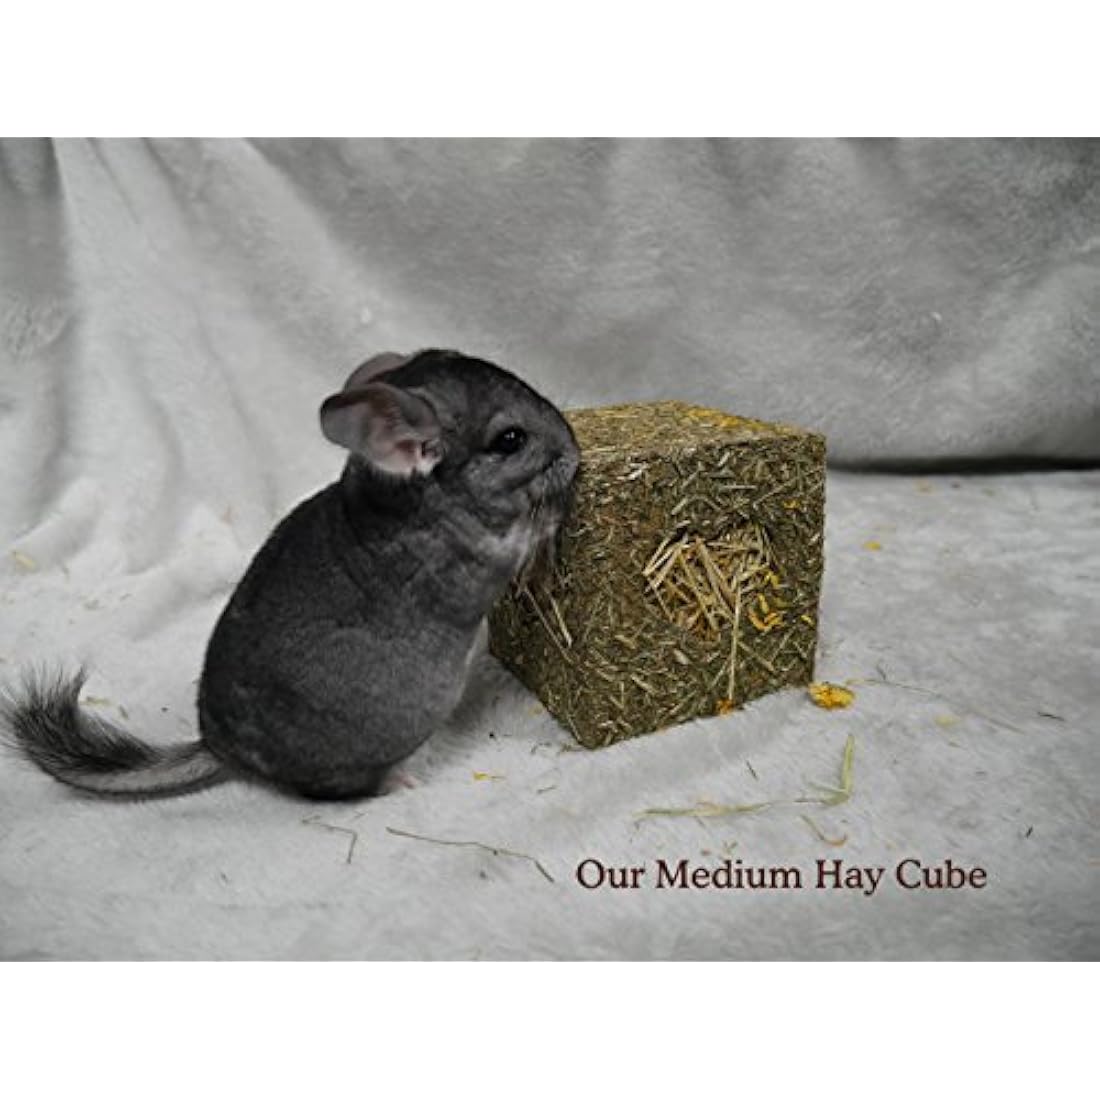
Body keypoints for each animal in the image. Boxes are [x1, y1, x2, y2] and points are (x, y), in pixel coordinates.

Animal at [1, 349, 580, 800]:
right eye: (510, 439)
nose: (574, 450)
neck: (412, 500)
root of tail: (220, 749)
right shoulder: (475, 563)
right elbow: (522, 539)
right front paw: (552, 518)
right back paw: (398, 782)